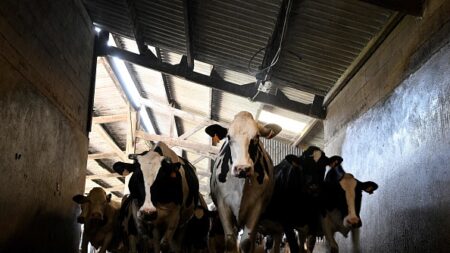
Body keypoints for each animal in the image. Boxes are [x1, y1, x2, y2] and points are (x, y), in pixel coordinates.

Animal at [205, 111, 282, 253]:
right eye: (229, 137)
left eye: (256, 137)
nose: (242, 168)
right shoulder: (223, 204)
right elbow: (230, 242)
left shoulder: (257, 206)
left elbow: (246, 242)